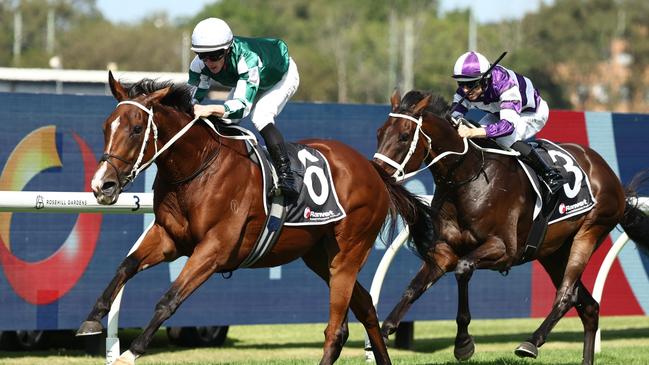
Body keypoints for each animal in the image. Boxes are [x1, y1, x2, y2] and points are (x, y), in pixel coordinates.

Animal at [74, 74, 436, 364]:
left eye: (137, 129)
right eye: (106, 127)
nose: (103, 185)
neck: (198, 167)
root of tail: (374, 171)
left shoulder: (215, 249)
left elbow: (169, 300)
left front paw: (130, 352)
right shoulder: (169, 238)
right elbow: (126, 266)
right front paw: (91, 320)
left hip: (348, 253)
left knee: (336, 329)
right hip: (321, 257)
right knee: (365, 308)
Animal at [370, 89, 648, 364]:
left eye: (404, 136)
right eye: (380, 132)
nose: (378, 172)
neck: (468, 177)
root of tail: (608, 174)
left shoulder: (504, 249)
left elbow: (463, 268)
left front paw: (463, 343)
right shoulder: (444, 251)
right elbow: (413, 288)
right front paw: (381, 334)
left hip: (590, 231)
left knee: (567, 295)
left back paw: (531, 342)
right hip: (553, 253)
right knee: (589, 308)